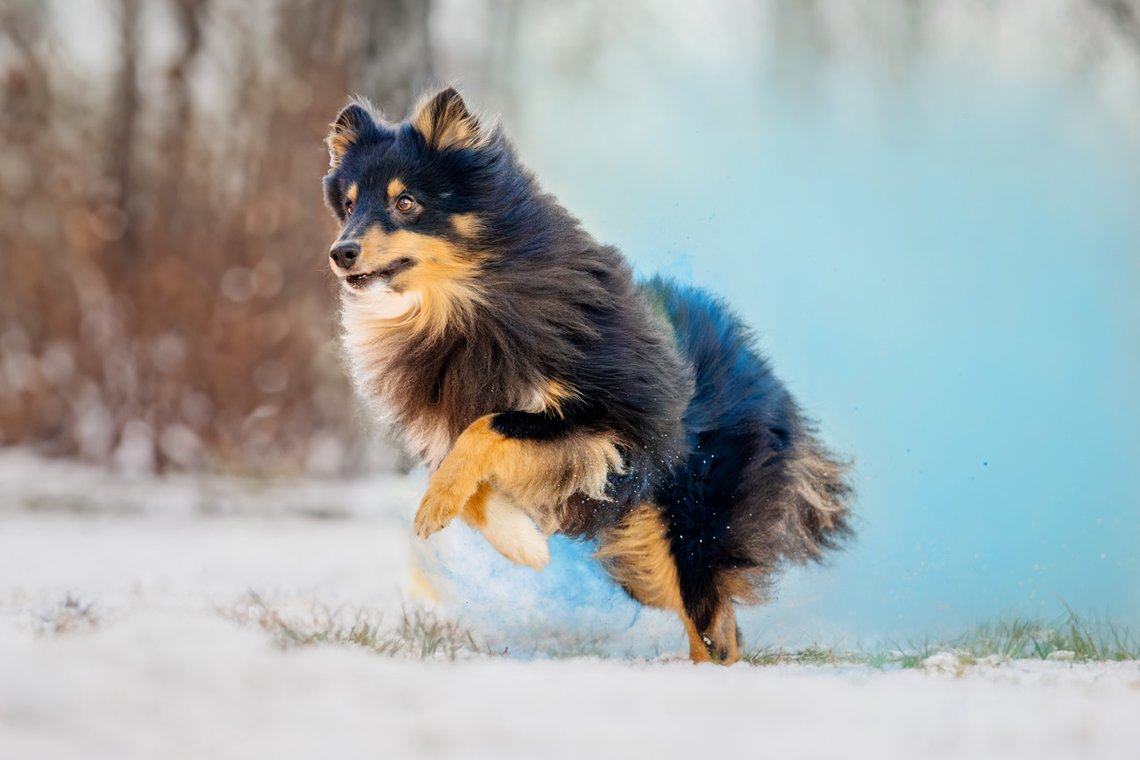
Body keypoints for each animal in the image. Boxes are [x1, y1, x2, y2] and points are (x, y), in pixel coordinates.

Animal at [319, 86, 848, 660]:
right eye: (350, 205)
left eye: (406, 202)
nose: (342, 252)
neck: (464, 308)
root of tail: (762, 371)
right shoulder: (459, 433)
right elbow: (472, 479)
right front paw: (522, 543)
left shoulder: (607, 420)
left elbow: (488, 427)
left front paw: (437, 508)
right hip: (640, 547)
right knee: (715, 623)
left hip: (692, 519)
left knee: (712, 623)